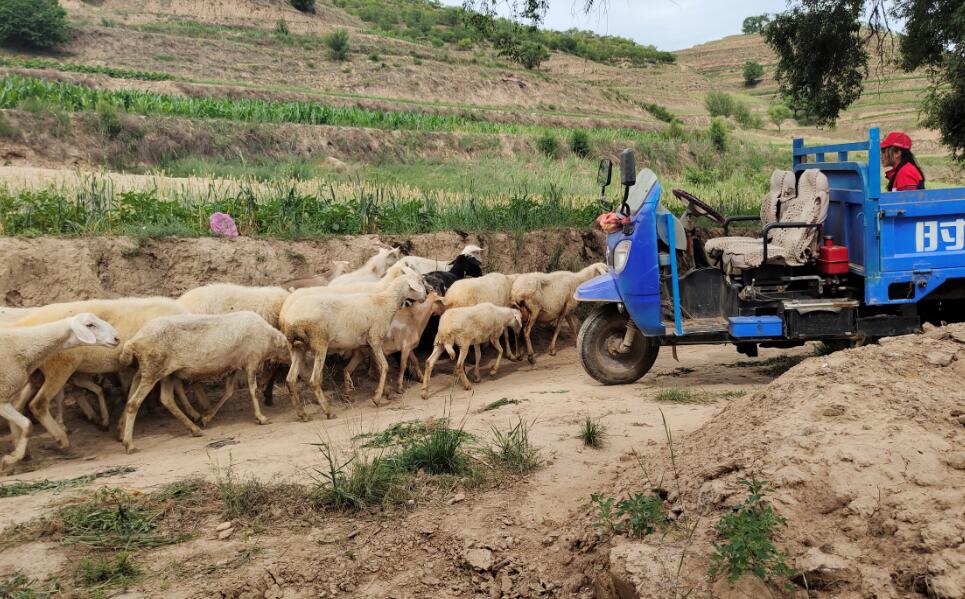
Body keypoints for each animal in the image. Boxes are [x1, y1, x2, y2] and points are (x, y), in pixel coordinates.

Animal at [0, 314, 118, 474]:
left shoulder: (7, 396)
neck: (23, 345)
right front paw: (10, 459)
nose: (117, 338)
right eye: (89, 325)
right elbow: (28, 423)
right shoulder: (2, 396)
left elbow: (24, 422)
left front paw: (16, 455)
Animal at [117, 312, 290, 452]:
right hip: (153, 370)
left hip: (160, 372)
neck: (271, 340)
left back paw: (194, 429)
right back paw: (129, 444)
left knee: (164, 399)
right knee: (134, 403)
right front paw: (261, 417)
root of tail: (133, 341)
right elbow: (253, 391)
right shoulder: (251, 361)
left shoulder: (233, 366)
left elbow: (229, 392)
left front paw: (207, 417)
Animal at [280, 270, 428, 420]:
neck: (385, 302)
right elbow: (385, 366)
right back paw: (328, 411)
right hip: (319, 342)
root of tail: (291, 321)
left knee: (290, 380)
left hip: (297, 348)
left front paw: (384, 392)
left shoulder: (367, 345)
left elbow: (377, 368)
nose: (425, 296)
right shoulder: (375, 338)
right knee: (314, 380)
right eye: (420, 281)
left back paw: (302, 414)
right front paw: (377, 398)